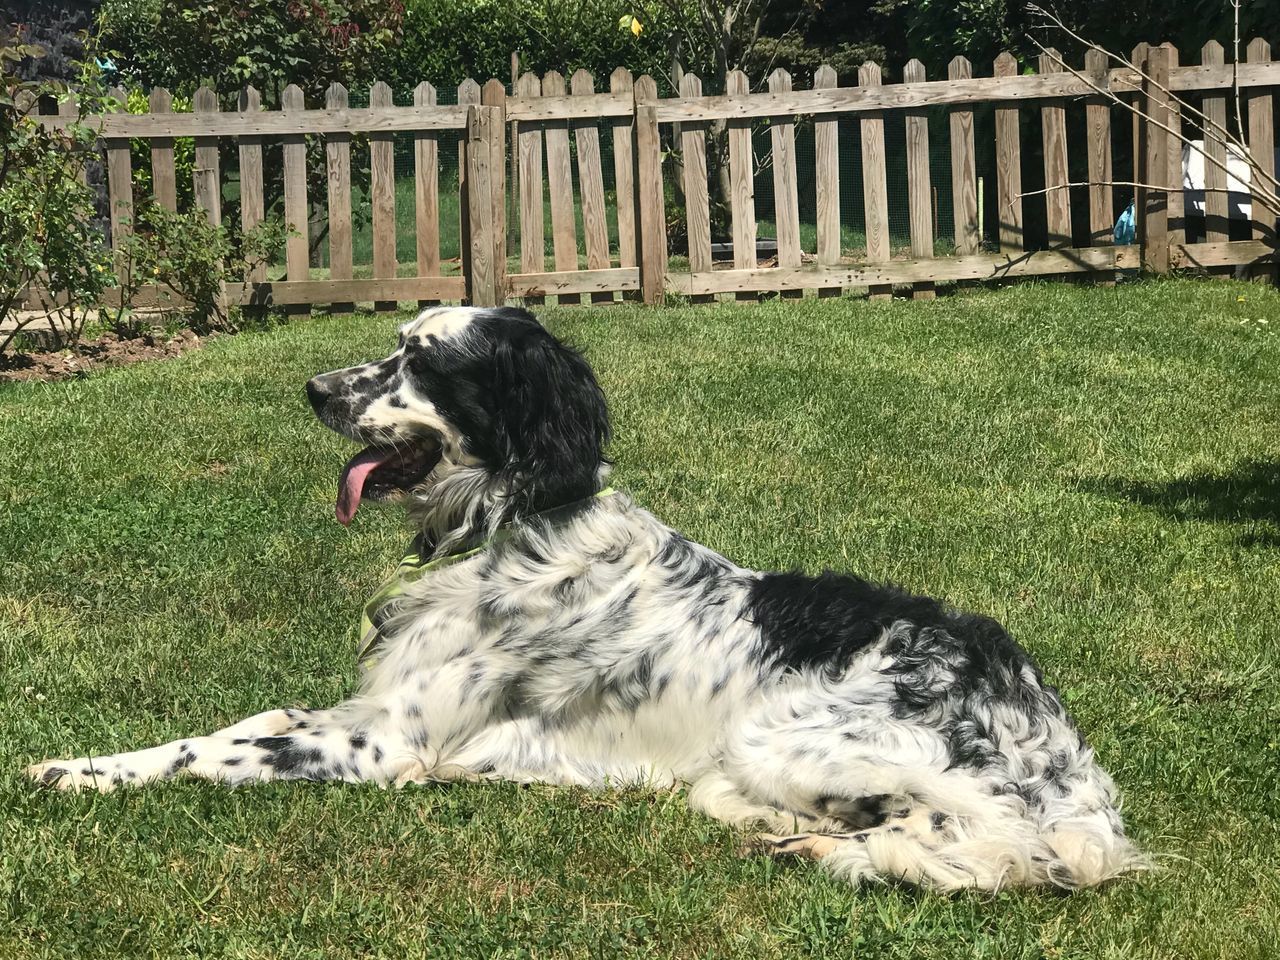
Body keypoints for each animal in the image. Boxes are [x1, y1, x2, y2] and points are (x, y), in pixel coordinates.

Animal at [24, 308, 1146, 896]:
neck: (513, 521)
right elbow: (238, 723)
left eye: (421, 361)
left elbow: (206, 752)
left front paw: (76, 773)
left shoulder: (380, 744)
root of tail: (1058, 743)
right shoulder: (356, 710)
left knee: (996, 847)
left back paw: (824, 845)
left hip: (791, 738)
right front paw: (89, 761)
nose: (311, 388)